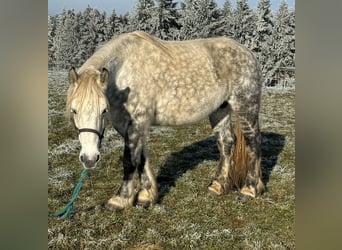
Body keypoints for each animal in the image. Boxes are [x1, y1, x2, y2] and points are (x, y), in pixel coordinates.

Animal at [66, 31, 264, 210]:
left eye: (103, 110)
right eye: (74, 110)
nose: (89, 159)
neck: (124, 75)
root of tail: (248, 53)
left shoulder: (136, 123)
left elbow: (129, 160)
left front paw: (119, 200)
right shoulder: (131, 126)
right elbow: (141, 159)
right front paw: (146, 196)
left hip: (246, 106)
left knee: (252, 142)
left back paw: (250, 189)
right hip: (220, 110)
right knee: (226, 142)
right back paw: (218, 185)